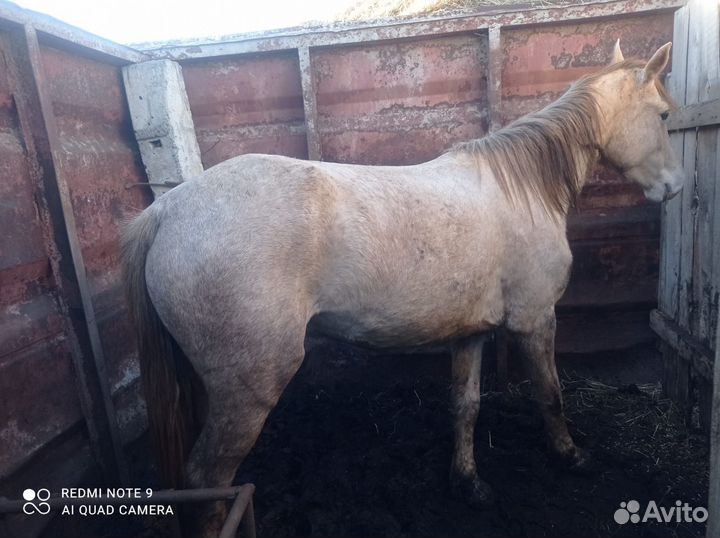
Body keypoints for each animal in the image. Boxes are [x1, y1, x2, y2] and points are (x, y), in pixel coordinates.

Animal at [121, 41, 683, 535]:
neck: (521, 188)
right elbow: (551, 395)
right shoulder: (535, 320)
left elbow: (466, 406)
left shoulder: (469, 333)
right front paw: (571, 457)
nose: (674, 187)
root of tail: (167, 209)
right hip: (249, 387)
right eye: (662, 116)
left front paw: (469, 484)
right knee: (209, 479)